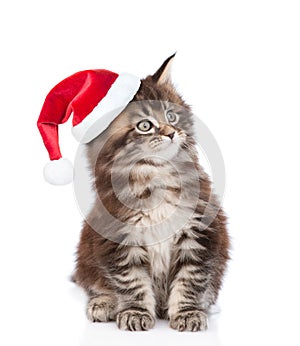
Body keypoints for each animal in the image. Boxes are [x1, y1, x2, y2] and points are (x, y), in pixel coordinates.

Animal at [72, 55, 230, 332]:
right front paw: (135, 312)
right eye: (145, 125)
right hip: (86, 255)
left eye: (171, 115)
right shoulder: (118, 237)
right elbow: (132, 282)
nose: (171, 132)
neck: (155, 180)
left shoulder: (199, 232)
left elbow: (190, 280)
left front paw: (188, 313)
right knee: (96, 284)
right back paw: (104, 303)